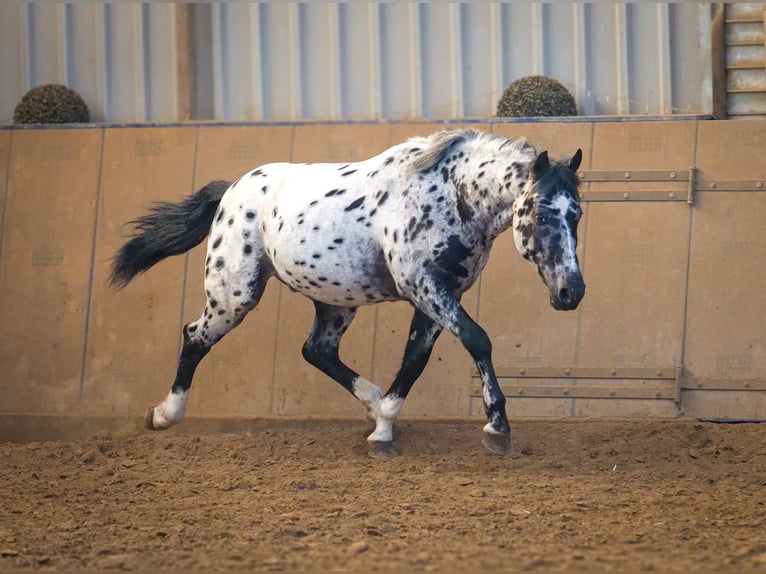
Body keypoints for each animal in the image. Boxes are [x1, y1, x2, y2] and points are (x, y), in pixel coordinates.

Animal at [111, 128, 584, 462]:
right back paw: (163, 415)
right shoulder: (424, 287)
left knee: (316, 350)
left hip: (334, 300)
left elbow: (414, 361)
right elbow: (477, 340)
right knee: (195, 336)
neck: (450, 196)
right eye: (543, 212)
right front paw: (497, 429)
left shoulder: (438, 296)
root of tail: (231, 191)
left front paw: (384, 429)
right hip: (233, 295)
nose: (571, 292)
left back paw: (372, 405)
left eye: (576, 214)